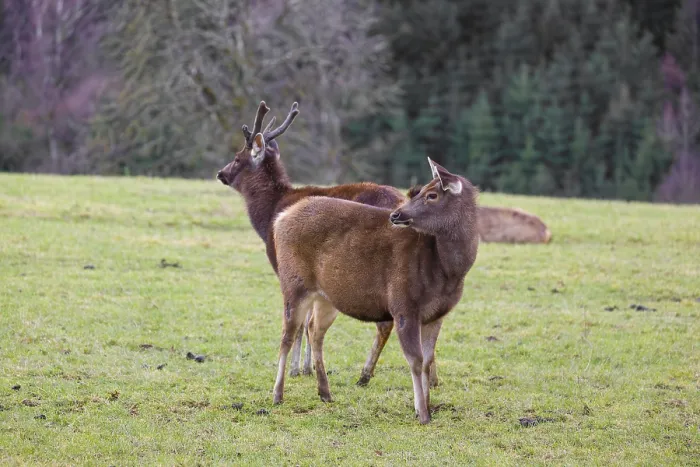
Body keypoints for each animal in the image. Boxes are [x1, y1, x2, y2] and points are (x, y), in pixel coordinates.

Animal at [216, 101, 439, 388]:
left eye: (236, 157)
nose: (221, 173)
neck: (269, 215)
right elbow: (311, 319)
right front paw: (308, 367)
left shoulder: (287, 266)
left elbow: (302, 321)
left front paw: (298, 369)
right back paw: (432, 378)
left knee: (386, 322)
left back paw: (365, 374)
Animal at [271, 157, 478, 424]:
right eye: (421, 190)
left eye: (432, 195)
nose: (396, 214)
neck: (446, 271)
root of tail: (280, 218)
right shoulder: (403, 304)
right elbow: (415, 360)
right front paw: (422, 413)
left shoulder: (438, 314)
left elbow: (428, 359)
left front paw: (428, 406)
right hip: (294, 284)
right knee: (287, 335)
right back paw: (278, 394)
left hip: (327, 296)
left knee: (314, 330)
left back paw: (325, 392)